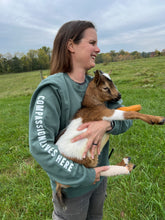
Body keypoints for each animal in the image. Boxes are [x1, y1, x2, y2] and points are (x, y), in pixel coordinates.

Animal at [55, 70, 165, 206]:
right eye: (105, 88)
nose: (119, 95)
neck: (91, 106)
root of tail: (58, 183)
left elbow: (124, 109)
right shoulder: (105, 113)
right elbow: (129, 113)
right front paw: (157, 119)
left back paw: (125, 161)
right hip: (84, 164)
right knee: (100, 172)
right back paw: (127, 167)